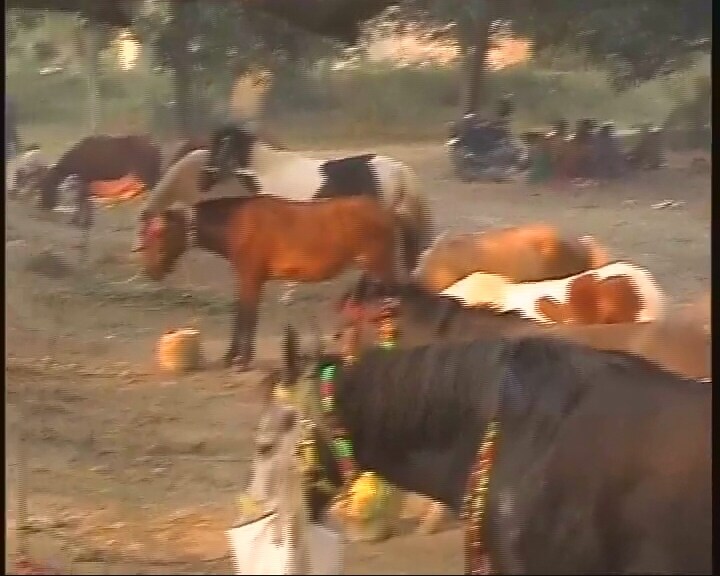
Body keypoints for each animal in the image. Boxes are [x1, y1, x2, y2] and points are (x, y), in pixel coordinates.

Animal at [135, 196, 400, 368]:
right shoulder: (243, 279)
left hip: (381, 265)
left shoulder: (251, 278)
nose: (151, 271)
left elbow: (248, 316)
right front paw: (230, 357)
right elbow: (240, 314)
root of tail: (386, 212)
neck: (237, 223)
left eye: (159, 233)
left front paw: (242, 360)